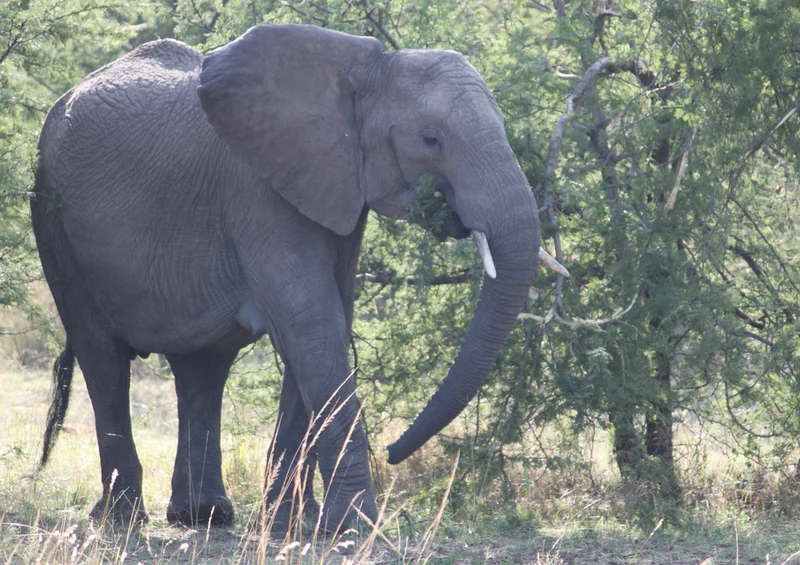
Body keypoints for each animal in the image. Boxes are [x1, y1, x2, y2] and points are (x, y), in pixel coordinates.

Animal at [31, 23, 568, 531]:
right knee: (102, 356)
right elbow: (312, 327)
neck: (359, 71)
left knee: (202, 368)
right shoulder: (256, 189)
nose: (393, 451)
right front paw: (354, 526)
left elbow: (323, 329)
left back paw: (202, 516)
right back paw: (121, 519)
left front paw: (290, 524)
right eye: (430, 139)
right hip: (52, 213)